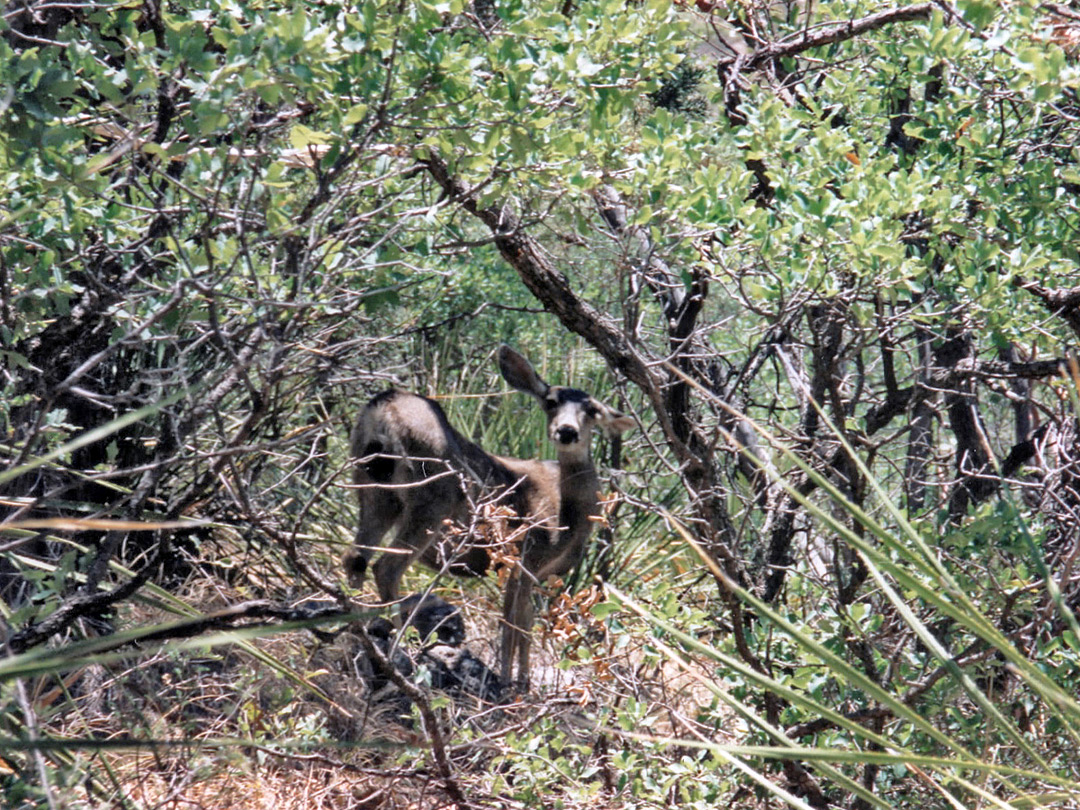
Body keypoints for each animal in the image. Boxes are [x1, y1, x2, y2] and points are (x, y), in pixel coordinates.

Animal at [345, 347, 630, 686]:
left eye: (592, 409)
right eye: (550, 401)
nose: (566, 431)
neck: (568, 517)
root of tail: (385, 408)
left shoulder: (526, 569)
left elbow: (520, 622)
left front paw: (517, 680)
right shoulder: (526, 558)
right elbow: (516, 624)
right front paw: (515, 683)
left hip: (373, 490)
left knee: (355, 558)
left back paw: (358, 631)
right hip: (433, 497)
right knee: (386, 567)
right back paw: (404, 650)